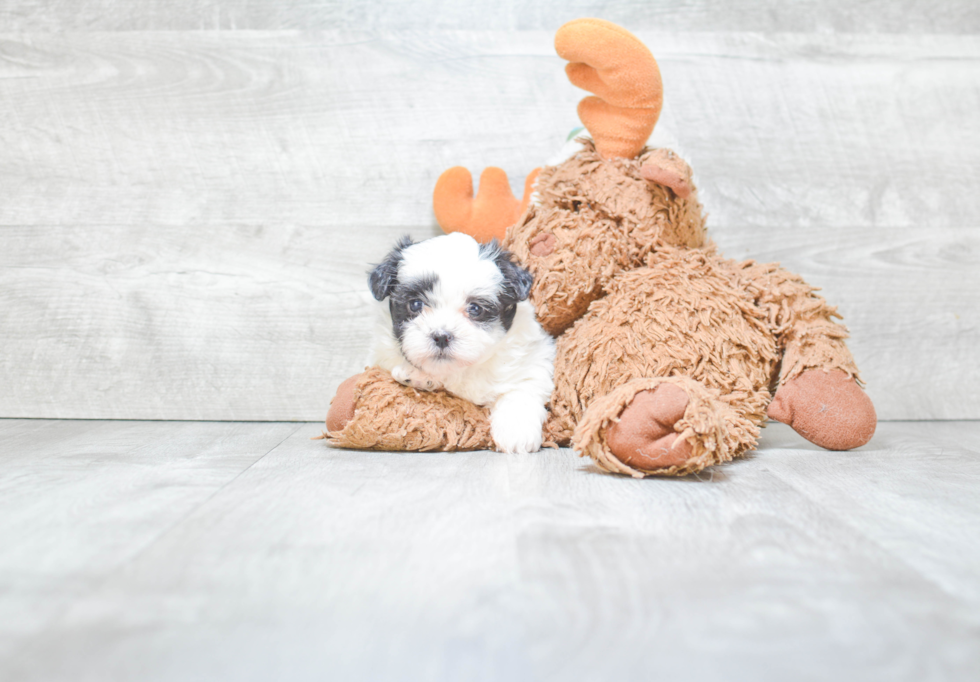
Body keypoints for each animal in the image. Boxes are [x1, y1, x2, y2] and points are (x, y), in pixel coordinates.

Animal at [368, 231, 556, 454]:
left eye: (475, 309)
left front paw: (516, 433)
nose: (442, 336)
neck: (463, 369)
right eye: (415, 305)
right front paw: (416, 375)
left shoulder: (534, 357)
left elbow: (521, 389)